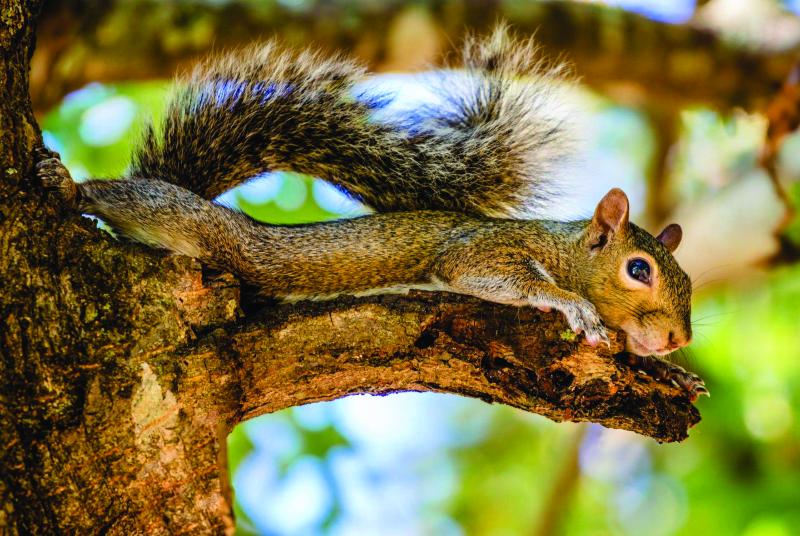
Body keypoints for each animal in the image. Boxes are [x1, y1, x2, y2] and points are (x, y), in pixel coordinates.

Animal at [37, 25, 700, 376]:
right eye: (638, 269)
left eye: (688, 281)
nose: (677, 340)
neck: (559, 247)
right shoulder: (487, 246)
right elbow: (491, 273)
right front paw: (571, 304)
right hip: (189, 220)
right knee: (129, 197)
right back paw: (67, 185)